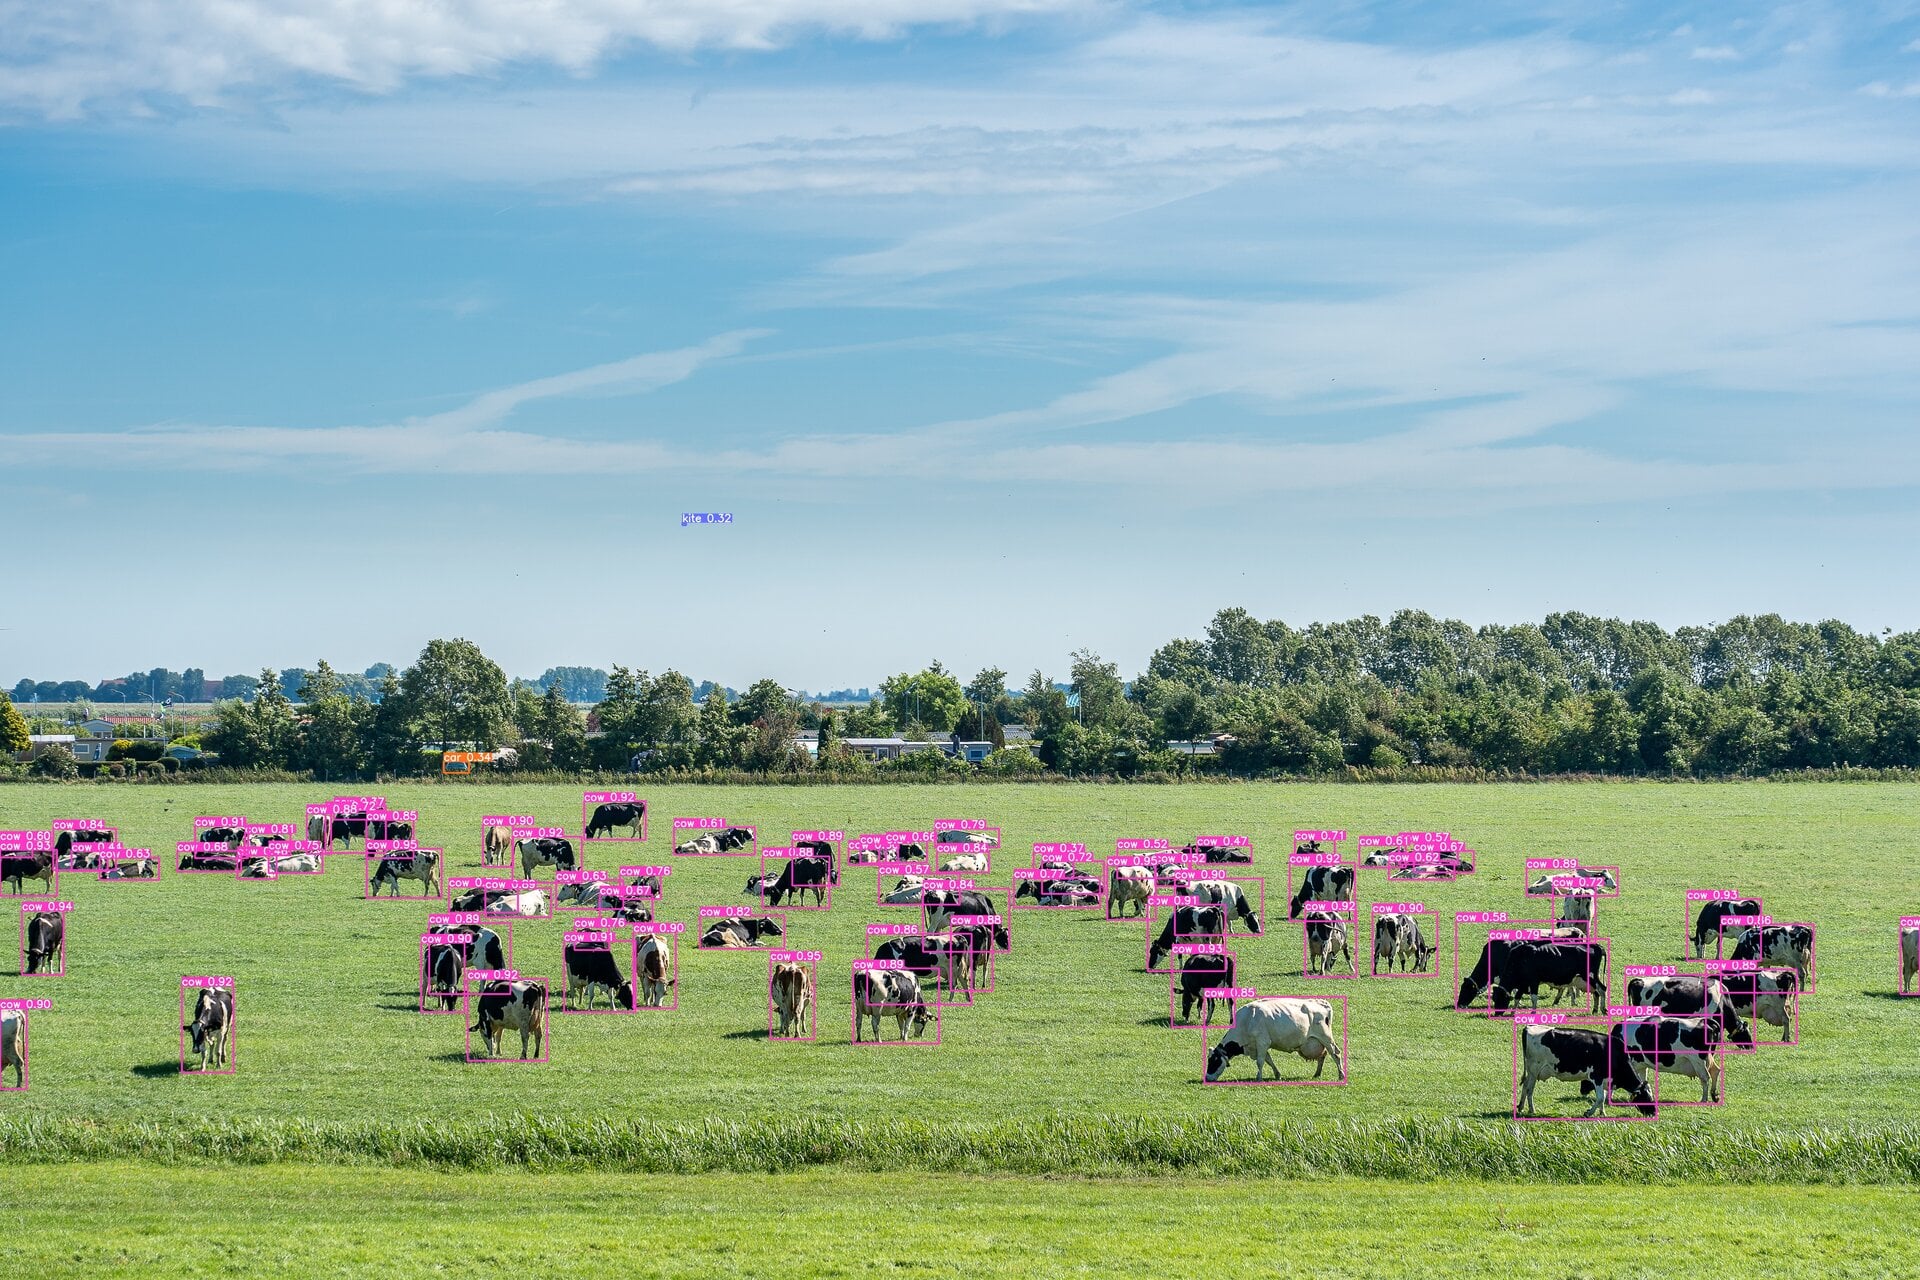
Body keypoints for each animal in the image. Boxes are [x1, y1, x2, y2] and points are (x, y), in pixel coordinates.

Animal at [1204, 998, 1343, 1082]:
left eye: (1213, 1061)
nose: (1207, 1078)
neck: (1247, 1021)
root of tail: (1321, 1002)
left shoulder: (1262, 1042)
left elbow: (1260, 1061)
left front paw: (1259, 1077)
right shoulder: (1258, 1045)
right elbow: (1268, 1060)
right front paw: (1277, 1074)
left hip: (1326, 1037)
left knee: (1335, 1053)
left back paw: (1341, 1074)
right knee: (1323, 1055)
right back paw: (1317, 1073)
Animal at [1457, 938, 1608, 1013]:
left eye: (1465, 990)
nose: (1459, 1005)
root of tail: (1596, 946)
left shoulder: (1533, 981)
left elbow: (1533, 997)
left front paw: (1532, 1012)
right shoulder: (1523, 982)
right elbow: (1517, 996)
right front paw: (1514, 1011)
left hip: (1590, 976)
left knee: (1601, 989)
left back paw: (1601, 1009)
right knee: (1594, 992)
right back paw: (1592, 1009)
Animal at [1517, 1024, 1654, 1117]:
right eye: (1646, 1097)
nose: (1654, 1112)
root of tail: (1529, 1027)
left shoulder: (1604, 1079)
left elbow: (1603, 1096)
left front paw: (1602, 1113)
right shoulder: (1596, 1076)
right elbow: (1600, 1098)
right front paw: (1589, 1112)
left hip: (1531, 1071)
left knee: (1525, 1086)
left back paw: (1521, 1107)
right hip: (1534, 1070)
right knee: (1529, 1089)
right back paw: (1532, 1110)